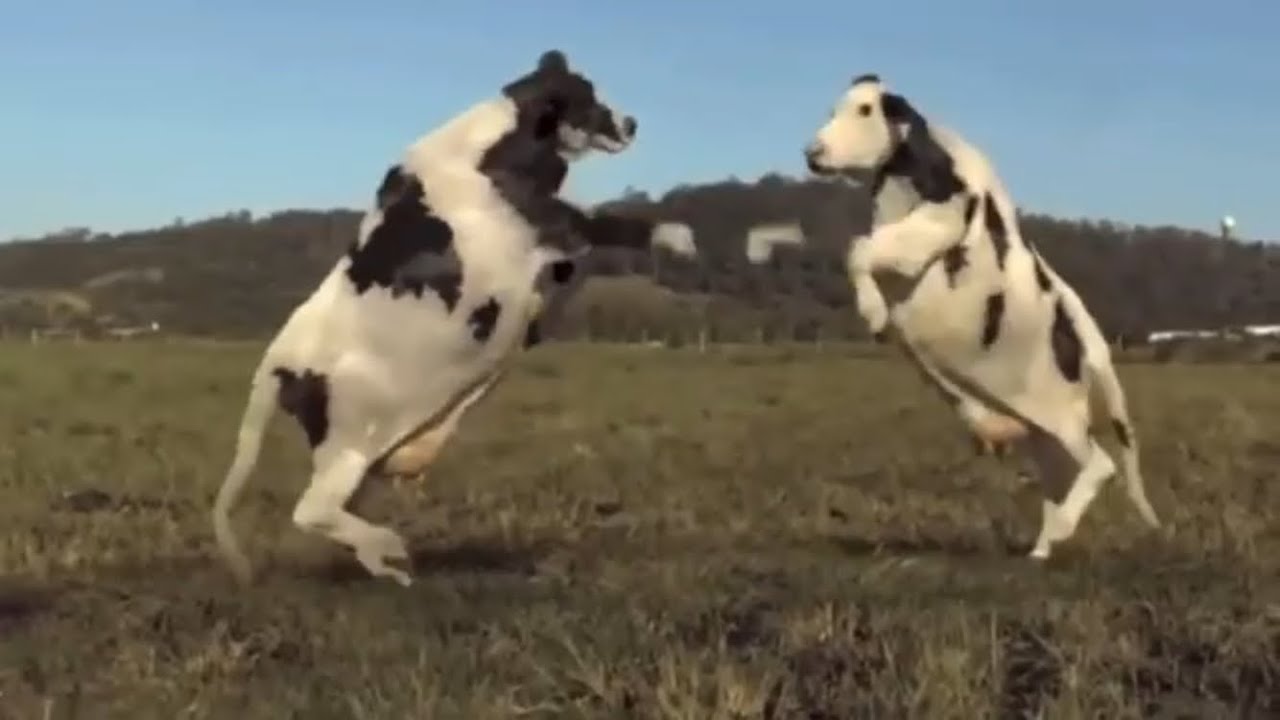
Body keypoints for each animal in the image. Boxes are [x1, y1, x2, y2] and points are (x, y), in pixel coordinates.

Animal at [212, 49, 695, 587]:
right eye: (585, 96)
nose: (631, 123)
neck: (486, 155)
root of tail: (278, 362)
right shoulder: (550, 225)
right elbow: (608, 223)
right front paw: (679, 237)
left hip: (359, 459)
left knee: (334, 515)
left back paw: (390, 565)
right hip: (346, 447)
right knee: (311, 509)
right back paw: (391, 545)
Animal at [803, 73, 1161, 560]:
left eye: (865, 110)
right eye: (833, 109)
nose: (812, 152)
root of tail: (1090, 337)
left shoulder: (933, 229)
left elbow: (857, 248)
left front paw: (873, 314)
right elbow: (859, 247)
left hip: (1064, 421)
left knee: (1101, 465)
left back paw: (1058, 530)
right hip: (1047, 435)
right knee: (1062, 484)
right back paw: (1043, 547)